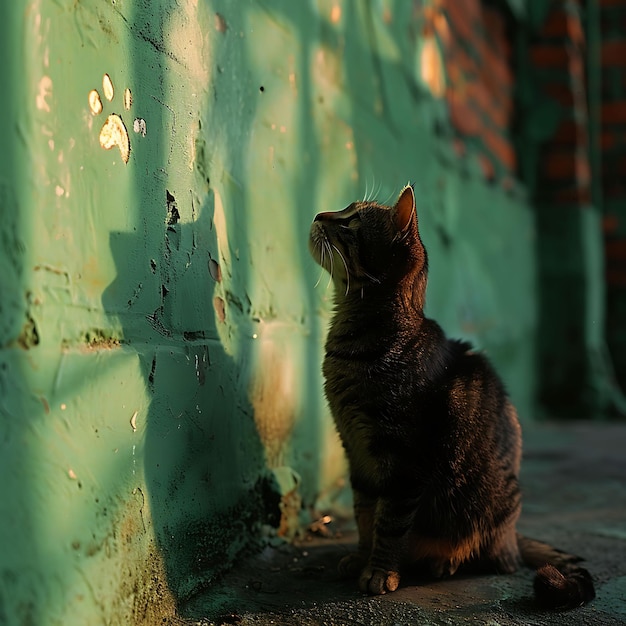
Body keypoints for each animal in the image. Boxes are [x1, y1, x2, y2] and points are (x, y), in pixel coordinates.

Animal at [310, 183, 592, 608]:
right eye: (346, 209)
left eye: (352, 221)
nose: (318, 214)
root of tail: (512, 535)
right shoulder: (356, 451)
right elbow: (364, 514)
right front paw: (361, 557)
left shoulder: (405, 462)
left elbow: (389, 523)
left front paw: (379, 571)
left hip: (488, 509)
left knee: (494, 557)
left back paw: (444, 562)